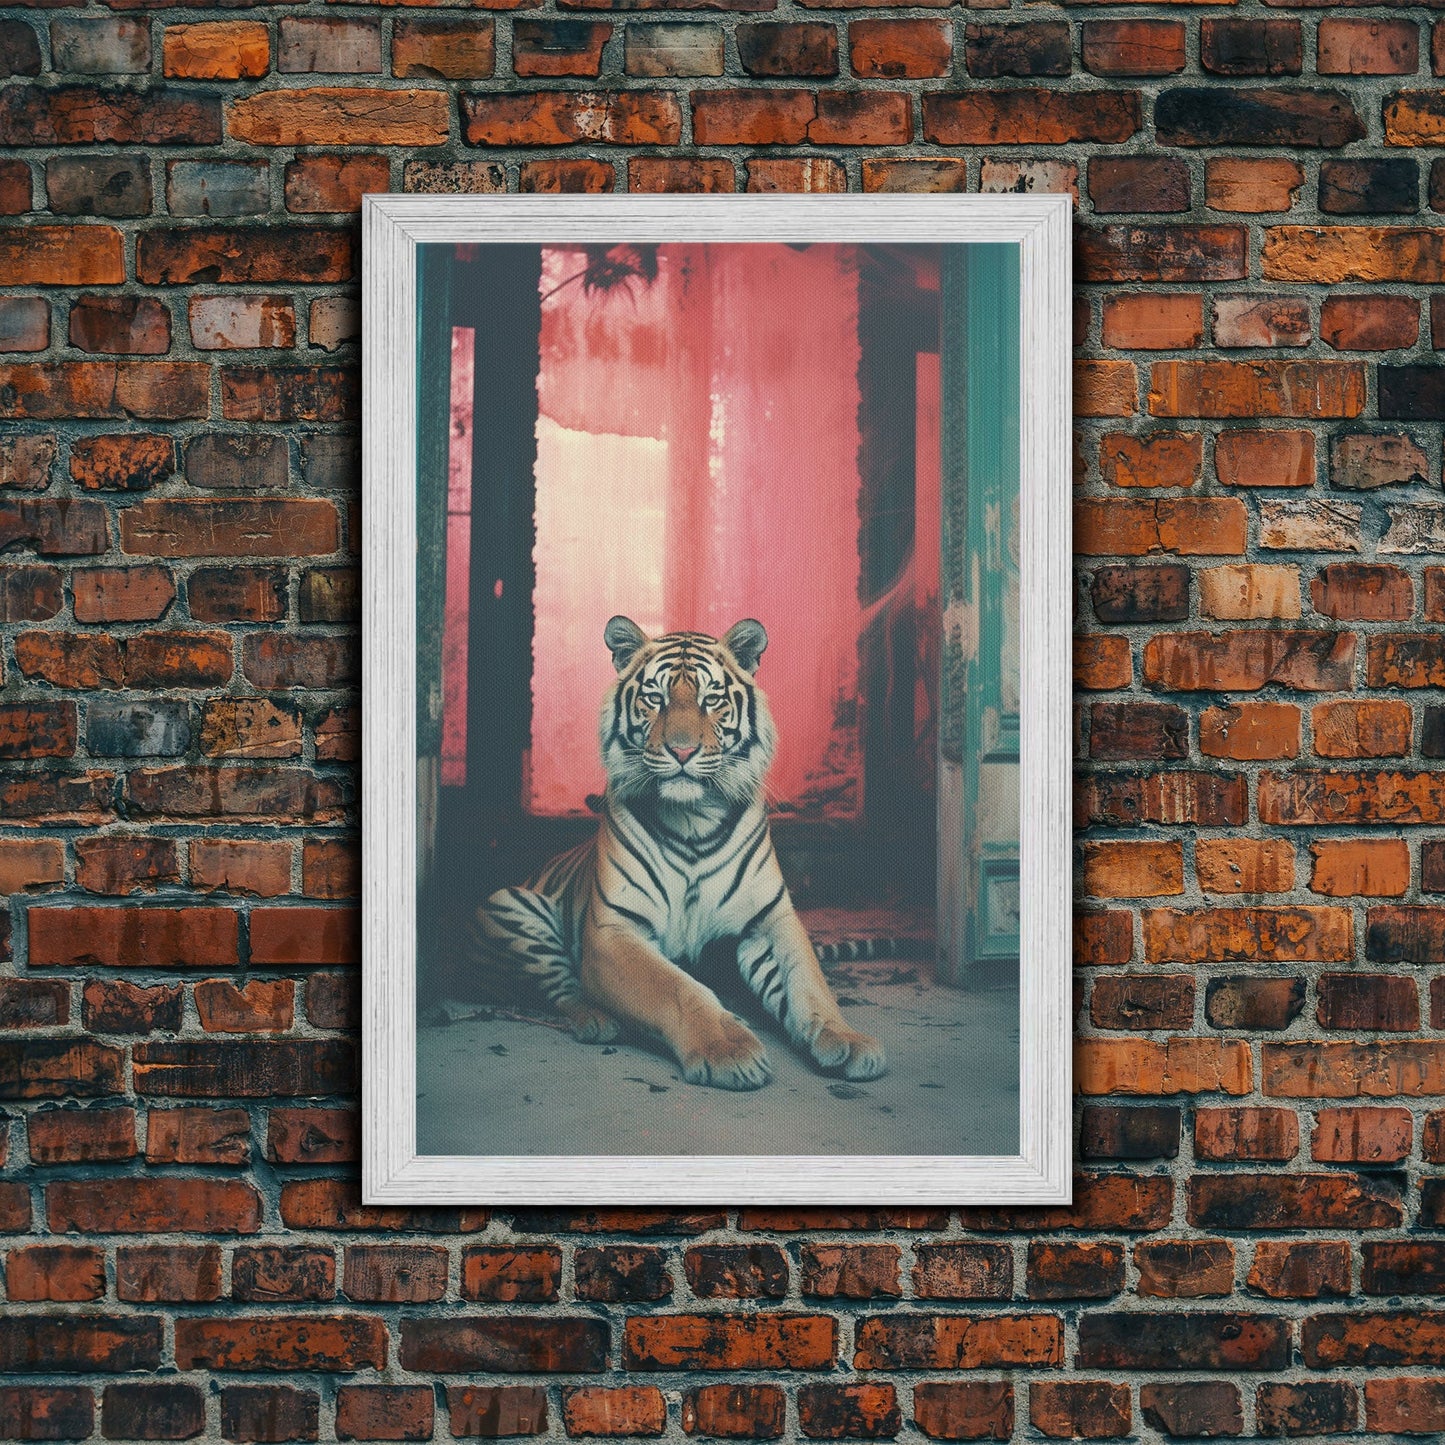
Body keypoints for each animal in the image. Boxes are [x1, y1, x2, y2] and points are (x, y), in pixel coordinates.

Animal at [471, 616, 887, 1091]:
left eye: (712, 700)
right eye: (656, 698)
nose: (683, 751)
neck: (694, 820)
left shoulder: (770, 921)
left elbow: (809, 985)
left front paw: (848, 1039)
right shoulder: (614, 932)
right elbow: (678, 988)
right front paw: (730, 1050)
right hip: (507, 905)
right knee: (565, 991)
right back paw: (599, 1022)